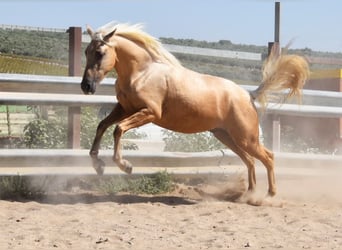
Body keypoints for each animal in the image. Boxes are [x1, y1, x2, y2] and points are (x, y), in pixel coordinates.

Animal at [81, 22, 310, 196]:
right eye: (86, 51)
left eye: (99, 52)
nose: (86, 86)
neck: (142, 72)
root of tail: (248, 95)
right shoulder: (124, 109)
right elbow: (102, 126)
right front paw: (98, 165)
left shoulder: (149, 113)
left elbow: (118, 129)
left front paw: (125, 165)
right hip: (227, 136)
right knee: (251, 161)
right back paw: (248, 194)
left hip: (247, 138)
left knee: (268, 157)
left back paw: (269, 194)